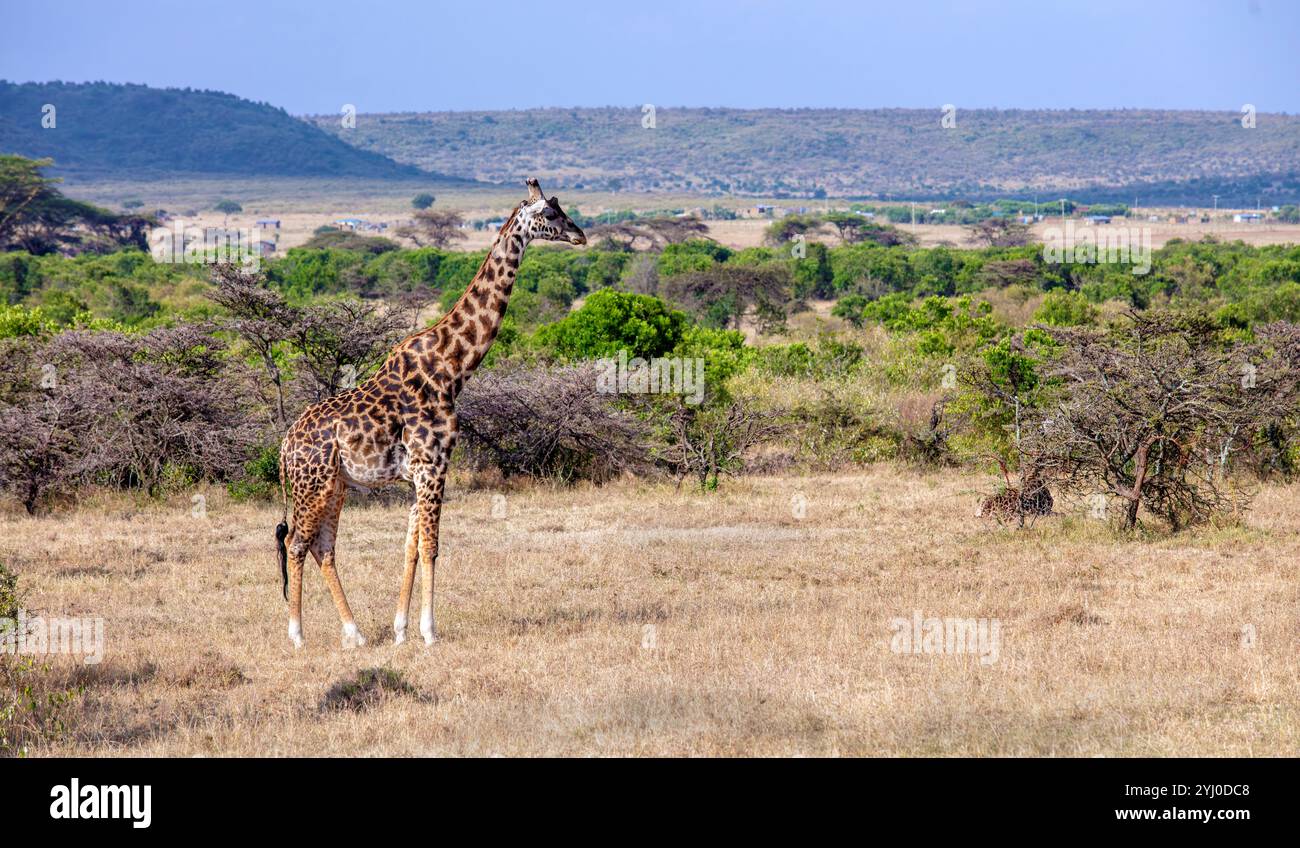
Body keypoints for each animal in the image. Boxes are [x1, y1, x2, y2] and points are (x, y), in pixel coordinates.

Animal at [275, 178, 586, 648]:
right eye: (551, 215)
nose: (580, 235)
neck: (451, 368)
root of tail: (283, 447)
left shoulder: (421, 472)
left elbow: (410, 545)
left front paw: (401, 630)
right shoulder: (433, 465)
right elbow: (430, 547)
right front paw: (429, 631)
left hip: (336, 486)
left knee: (322, 547)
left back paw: (355, 632)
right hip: (313, 485)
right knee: (296, 543)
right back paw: (296, 635)